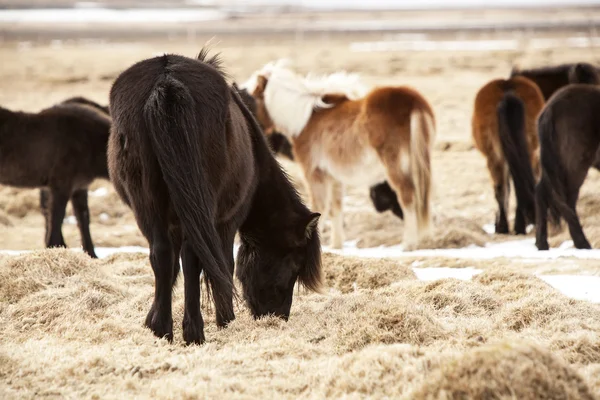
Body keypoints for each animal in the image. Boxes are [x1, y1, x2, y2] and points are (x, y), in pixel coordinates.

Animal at [0, 100, 111, 256]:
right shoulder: (60, 186)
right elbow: (57, 218)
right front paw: (54, 247)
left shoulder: (79, 188)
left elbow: (83, 218)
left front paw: (91, 255)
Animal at [108, 50, 324, 344]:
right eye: (294, 264)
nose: (279, 315)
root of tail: (166, 82)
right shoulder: (227, 221)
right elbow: (224, 263)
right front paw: (225, 318)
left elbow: (171, 268)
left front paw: (152, 319)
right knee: (191, 257)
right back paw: (194, 332)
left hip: (148, 206)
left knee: (162, 254)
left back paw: (163, 330)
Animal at [244, 61, 436, 248]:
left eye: (253, 97)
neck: (305, 119)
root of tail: (412, 101)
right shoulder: (334, 177)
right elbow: (335, 208)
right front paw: (336, 244)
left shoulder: (314, 174)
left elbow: (319, 206)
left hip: (395, 167)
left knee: (407, 197)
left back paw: (408, 243)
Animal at [474, 75, 544, 234]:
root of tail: (508, 91)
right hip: (528, 150)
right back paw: (521, 225)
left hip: (495, 156)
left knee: (500, 188)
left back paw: (505, 226)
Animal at [536, 83, 600, 250]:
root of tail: (551, 108)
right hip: (574, 165)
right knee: (568, 200)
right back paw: (582, 243)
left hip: (554, 164)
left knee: (542, 192)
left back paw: (542, 243)